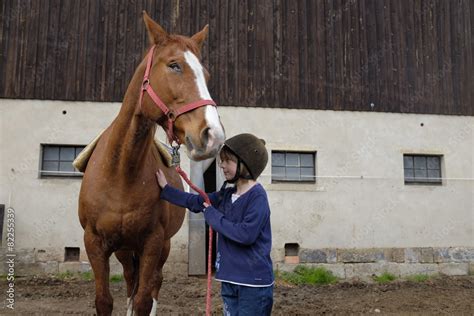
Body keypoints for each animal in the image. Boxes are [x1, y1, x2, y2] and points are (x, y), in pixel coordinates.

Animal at [78, 12, 226, 316]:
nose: (213, 135)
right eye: (174, 65)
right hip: (124, 249)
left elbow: (145, 299)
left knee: (152, 284)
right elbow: (105, 300)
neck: (122, 171)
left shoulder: (153, 243)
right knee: (130, 280)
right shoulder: (95, 243)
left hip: (161, 247)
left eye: (206, 75)